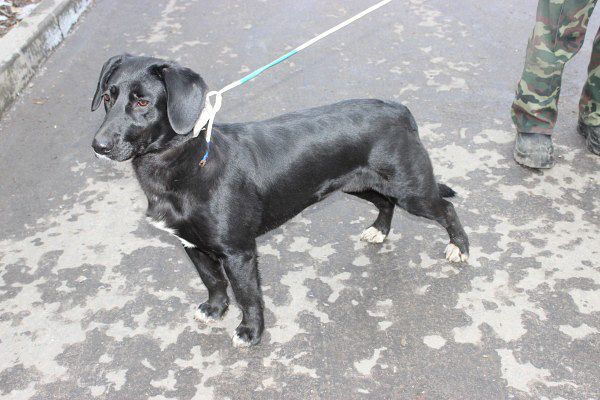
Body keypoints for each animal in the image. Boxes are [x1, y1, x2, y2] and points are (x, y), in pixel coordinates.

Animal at [91, 54, 469, 347]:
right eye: (108, 97)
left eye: (142, 102)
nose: (99, 146)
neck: (188, 163)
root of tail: (399, 109)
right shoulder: (191, 244)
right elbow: (213, 282)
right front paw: (215, 310)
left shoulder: (239, 251)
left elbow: (248, 295)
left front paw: (250, 332)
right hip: (358, 185)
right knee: (384, 203)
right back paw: (379, 230)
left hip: (412, 191)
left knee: (446, 207)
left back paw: (459, 248)